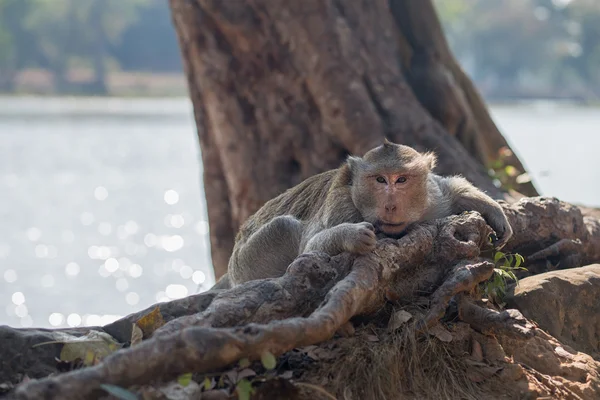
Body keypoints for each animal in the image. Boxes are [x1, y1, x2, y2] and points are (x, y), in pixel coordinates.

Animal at [211, 141, 510, 290]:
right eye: (380, 180)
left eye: (401, 180)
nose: (390, 205)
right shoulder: (342, 207)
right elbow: (308, 251)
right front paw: (352, 236)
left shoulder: (432, 200)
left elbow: (447, 187)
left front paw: (492, 209)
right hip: (246, 262)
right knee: (283, 226)